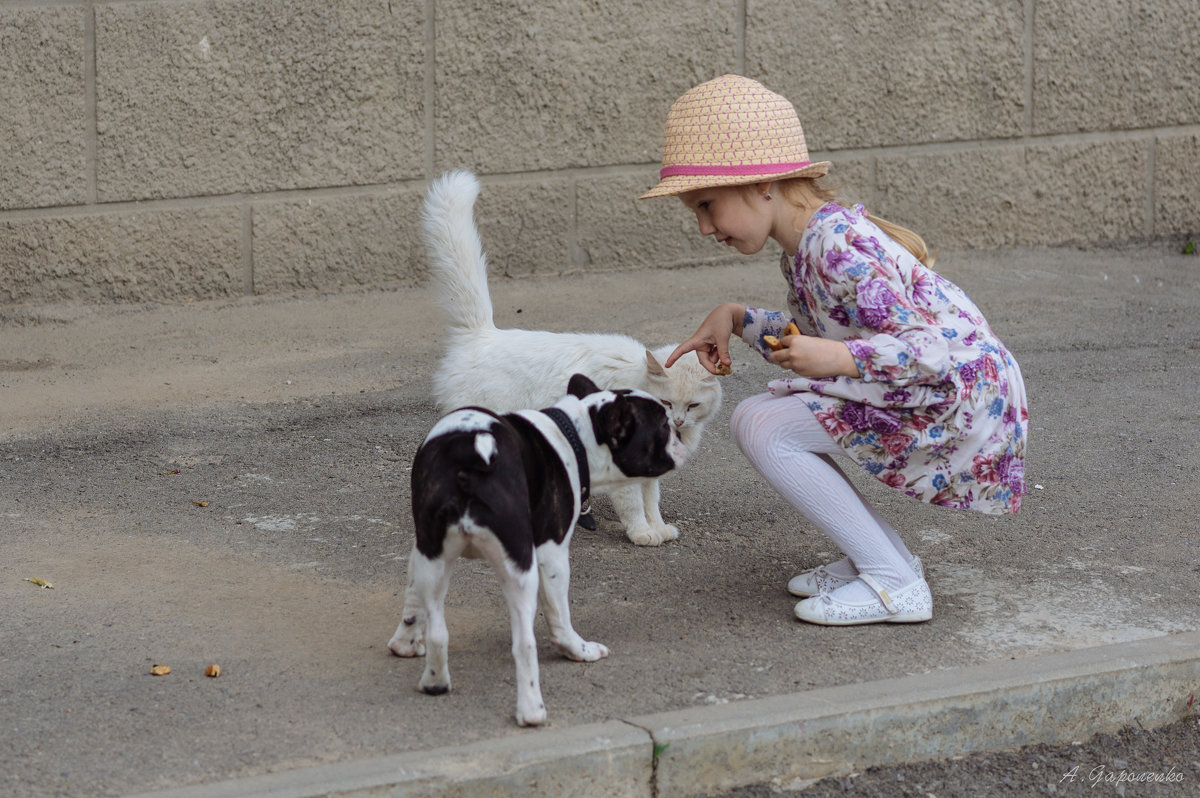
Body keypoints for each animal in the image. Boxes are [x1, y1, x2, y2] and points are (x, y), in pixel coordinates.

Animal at [391, 374, 691, 720]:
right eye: (663, 426)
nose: (680, 433)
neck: (575, 437)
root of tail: (471, 455)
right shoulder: (552, 552)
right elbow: (558, 613)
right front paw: (577, 648)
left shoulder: (421, 549)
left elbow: (412, 597)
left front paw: (404, 643)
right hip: (522, 566)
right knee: (524, 642)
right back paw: (533, 708)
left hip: (435, 553)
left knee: (438, 631)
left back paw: (435, 680)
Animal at [422, 170, 720, 544]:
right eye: (666, 403)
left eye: (692, 406)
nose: (677, 421)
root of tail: (482, 333)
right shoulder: (623, 469)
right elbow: (634, 505)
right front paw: (642, 533)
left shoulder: (648, 471)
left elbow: (652, 499)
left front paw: (659, 528)